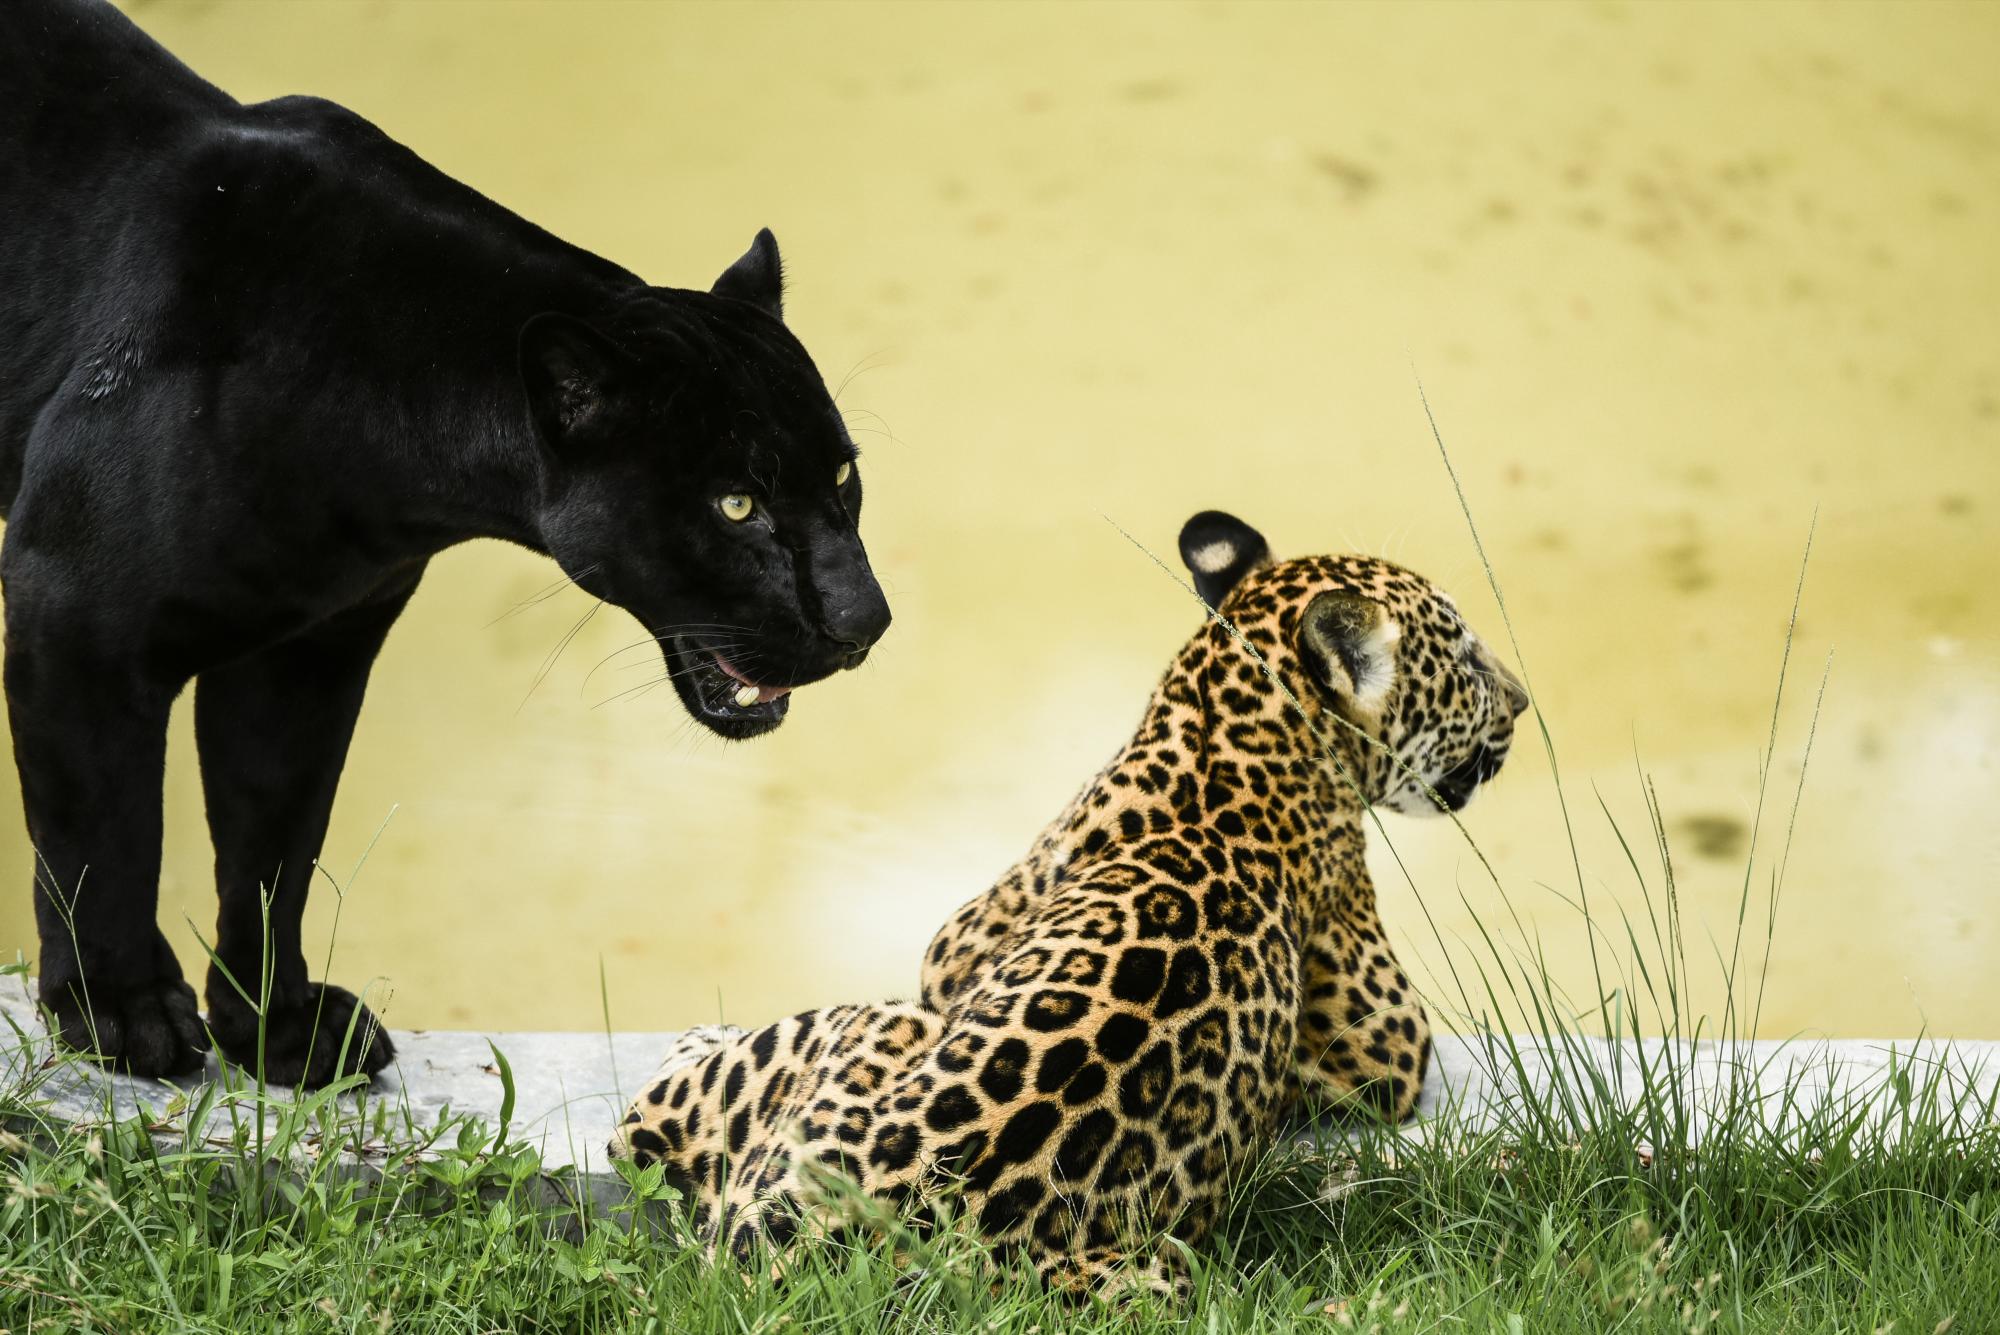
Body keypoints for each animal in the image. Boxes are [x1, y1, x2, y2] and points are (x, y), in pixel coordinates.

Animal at [610, 509, 1529, 1293]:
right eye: (1465, 662)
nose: (1522, 703)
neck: (1229, 715)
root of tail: (817, 1248)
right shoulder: (1389, 1040)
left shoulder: (958, 949)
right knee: (637, 1125)